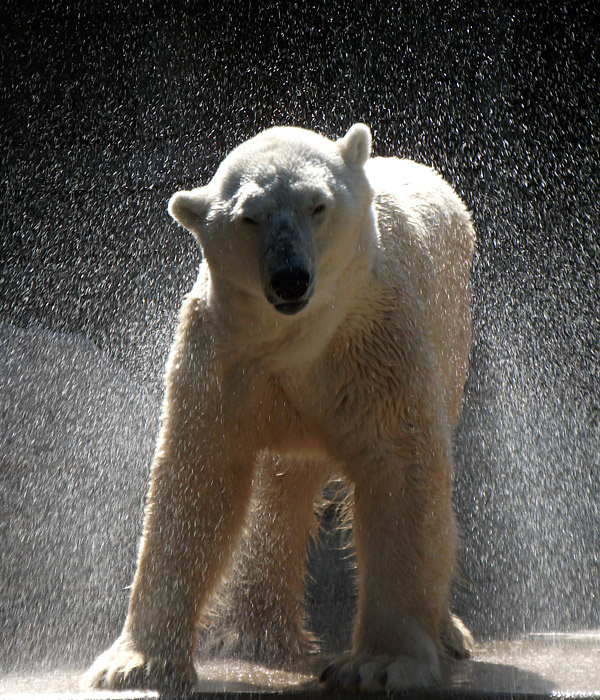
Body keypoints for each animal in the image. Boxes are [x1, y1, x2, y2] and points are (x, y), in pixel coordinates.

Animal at [86, 123, 476, 692]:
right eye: (248, 217)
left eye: (318, 205)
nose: (290, 277)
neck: (298, 341)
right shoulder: (223, 357)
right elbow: (198, 482)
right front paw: (135, 664)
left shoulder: (376, 343)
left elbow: (402, 473)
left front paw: (380, 665)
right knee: (280, 487)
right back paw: (259, 635)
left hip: (449, 333)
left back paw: (447, 632)